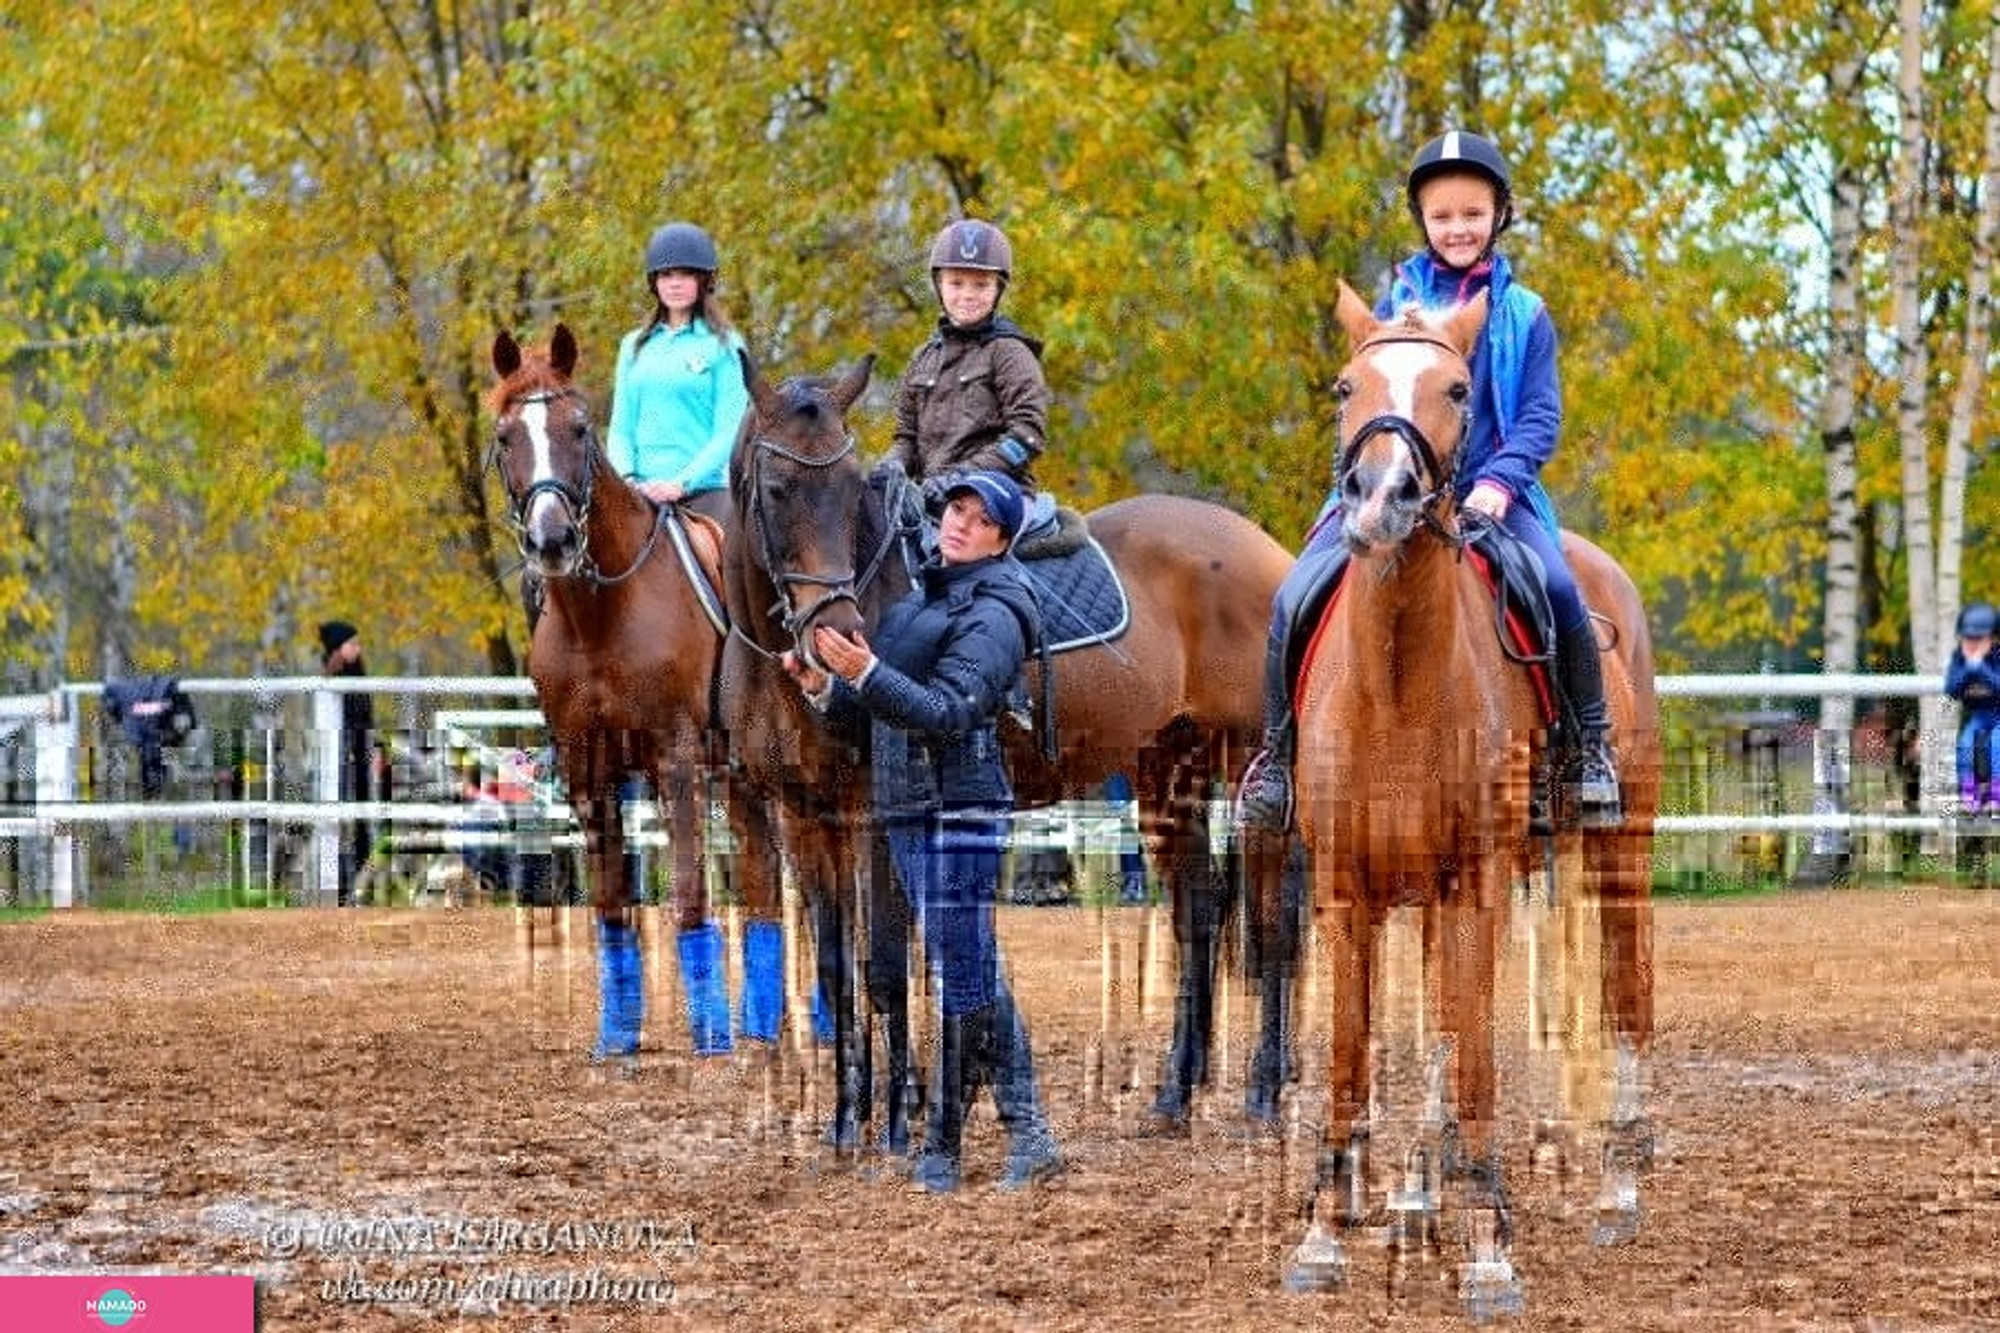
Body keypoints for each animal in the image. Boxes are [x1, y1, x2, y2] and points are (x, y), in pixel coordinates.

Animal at [484, 324, 736, 1056]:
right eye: (506, 436)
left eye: (578, 427)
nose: (553, 540)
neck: (602, 616)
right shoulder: (587, 769)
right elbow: (611, 901)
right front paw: (618, 1034)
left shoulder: (677, 761)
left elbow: (688, 893)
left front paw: (712, 1034)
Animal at [720, 352, 1296, 1152]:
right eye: (778, 489)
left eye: (848, 487)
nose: (838, 639)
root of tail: (1264, 550)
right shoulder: (802, 819)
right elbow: (838, 971)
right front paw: (847, 1122)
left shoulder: (875, 818)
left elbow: (885, 964)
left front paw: (897, 1120)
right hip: (1167, 770)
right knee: (1200, 913)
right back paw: (1173, 1095)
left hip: (1247, 770)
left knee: (1270, 922)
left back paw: (1264, 1089)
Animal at [1272, 286, 1664, 1312]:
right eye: (1346, 385)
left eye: (1457, 387)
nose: (1381, 498)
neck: (1400, 675)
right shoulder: (1348, 889)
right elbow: (1354, 1058)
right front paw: (1323, 1233)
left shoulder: (1478, 885)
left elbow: (1480, 1059)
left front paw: (1490, 1244)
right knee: (1440, 1038)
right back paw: (1417, 1190)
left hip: (1617, 858)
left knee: (1626, 996)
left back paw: (1617, 1187)